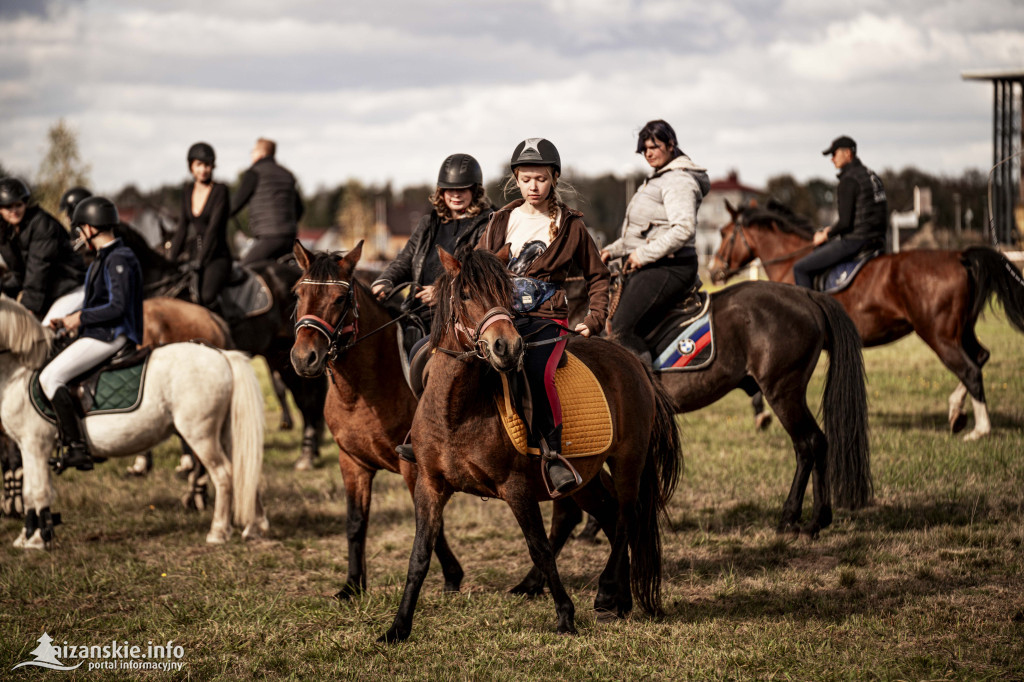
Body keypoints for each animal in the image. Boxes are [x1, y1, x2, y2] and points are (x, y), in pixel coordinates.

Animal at [0, 296, 268, 548]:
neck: (19, 370)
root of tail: (221, 354)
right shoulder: (30, 447)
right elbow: (33, 492)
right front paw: (27, 537)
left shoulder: (34, 444)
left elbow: (36, 492)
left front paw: (36, 539)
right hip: (226, 434)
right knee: (245, 471)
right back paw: (254, 528)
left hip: (200, 435)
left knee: (223, 475)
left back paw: (218, 532)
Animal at [288, 237, 464, 593]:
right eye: (298, 293)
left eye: (340, 298)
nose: (304, 358)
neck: (361, 393)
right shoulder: (352, 462)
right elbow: (356, 522)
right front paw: (352, 586)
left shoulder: (414, 468)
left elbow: (430, 525)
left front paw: (453, 575)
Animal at [380, 246, 684, 638]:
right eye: (466, 295)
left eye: (504, 294)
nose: (506, 346)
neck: (456, 411)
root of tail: (630, 360)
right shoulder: (430, 484)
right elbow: (419, 554)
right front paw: (398, 628)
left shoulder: (516, 487)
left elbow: (538, 547)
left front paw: (565, 616)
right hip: (584, 479)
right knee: (610, 513)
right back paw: (619, 599)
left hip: (628, 460)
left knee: (625, 517)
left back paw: (606, 594)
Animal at [708, 199, 1024, 438]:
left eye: (723, 233)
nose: (713, 271)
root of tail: (959, 256)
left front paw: (760, 415)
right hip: (960, 331)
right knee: (980, 358)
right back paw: (956, 412)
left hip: (938, 335)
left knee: (969, 370)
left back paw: (980, 429)